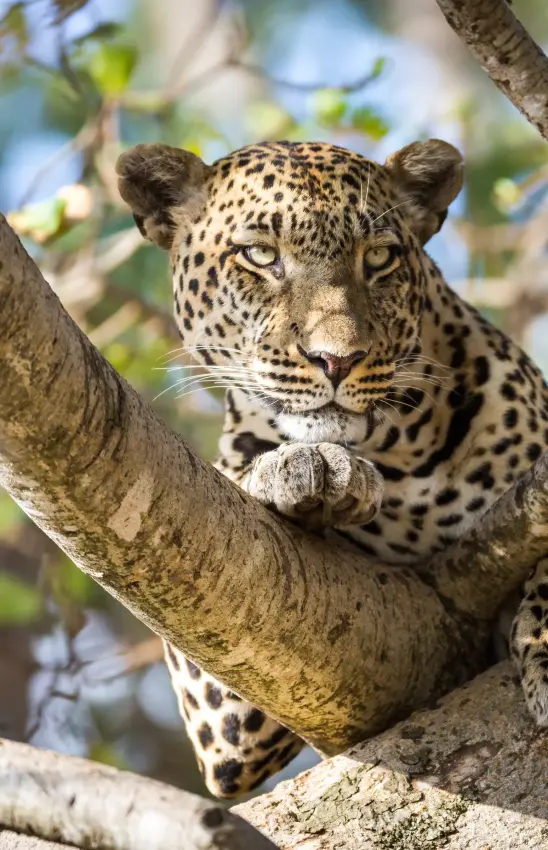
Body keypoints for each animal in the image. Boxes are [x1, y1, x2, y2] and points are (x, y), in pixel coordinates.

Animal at [116, 138, 548, 798]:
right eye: (260, 255)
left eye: (379, 257)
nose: (336, 360)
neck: (398, 458)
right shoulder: (224, 717)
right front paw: (299, 471)